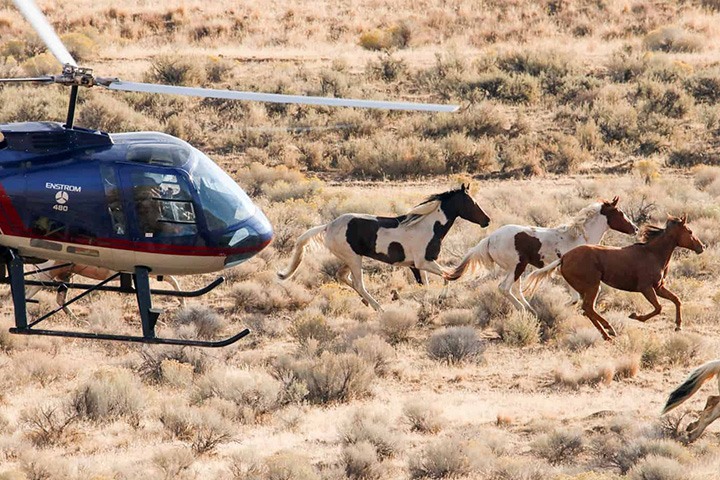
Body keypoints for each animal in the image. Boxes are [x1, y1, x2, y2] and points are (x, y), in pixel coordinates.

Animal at [26, 261, 186, 318]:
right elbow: (174, 280)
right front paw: (183, 304)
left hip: (64, 274)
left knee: (60, 300)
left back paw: (77, 320)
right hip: (45, 274)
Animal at [277, 184, 490, 311]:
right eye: (471, 203)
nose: (486, 220)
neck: (429, 226)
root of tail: (328, 226)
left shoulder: (417, 266)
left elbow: (429, 283)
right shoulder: (424, 262)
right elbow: (448, 276)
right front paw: (439, 298)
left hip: (350, 258)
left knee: (342, 276)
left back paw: (367, 302)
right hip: (354, 259)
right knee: (358, 284)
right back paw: (378, 307)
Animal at [445, 197, 637, 313]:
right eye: (620, 213)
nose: (635, 228)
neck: (580, 237)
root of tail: (490, 238)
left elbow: (579, 296)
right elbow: (576, 298)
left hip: (514, 269)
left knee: (515, 289)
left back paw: (529, 308)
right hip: (517, 266)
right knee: (504, 288)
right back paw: (525, 309)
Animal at [524, 215, 704, 340]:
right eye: (689, 231)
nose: (701, 246)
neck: (652, 253)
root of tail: (564, 258)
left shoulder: (658, 287)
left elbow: (676, 300)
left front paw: (678, 326)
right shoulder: (646, 288)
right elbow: (658, 308)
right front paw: (635, 316)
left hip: (587, 288)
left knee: (588, 309)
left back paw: (607, 332)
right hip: (592, 286)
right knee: (588, 308)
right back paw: (609, 331)